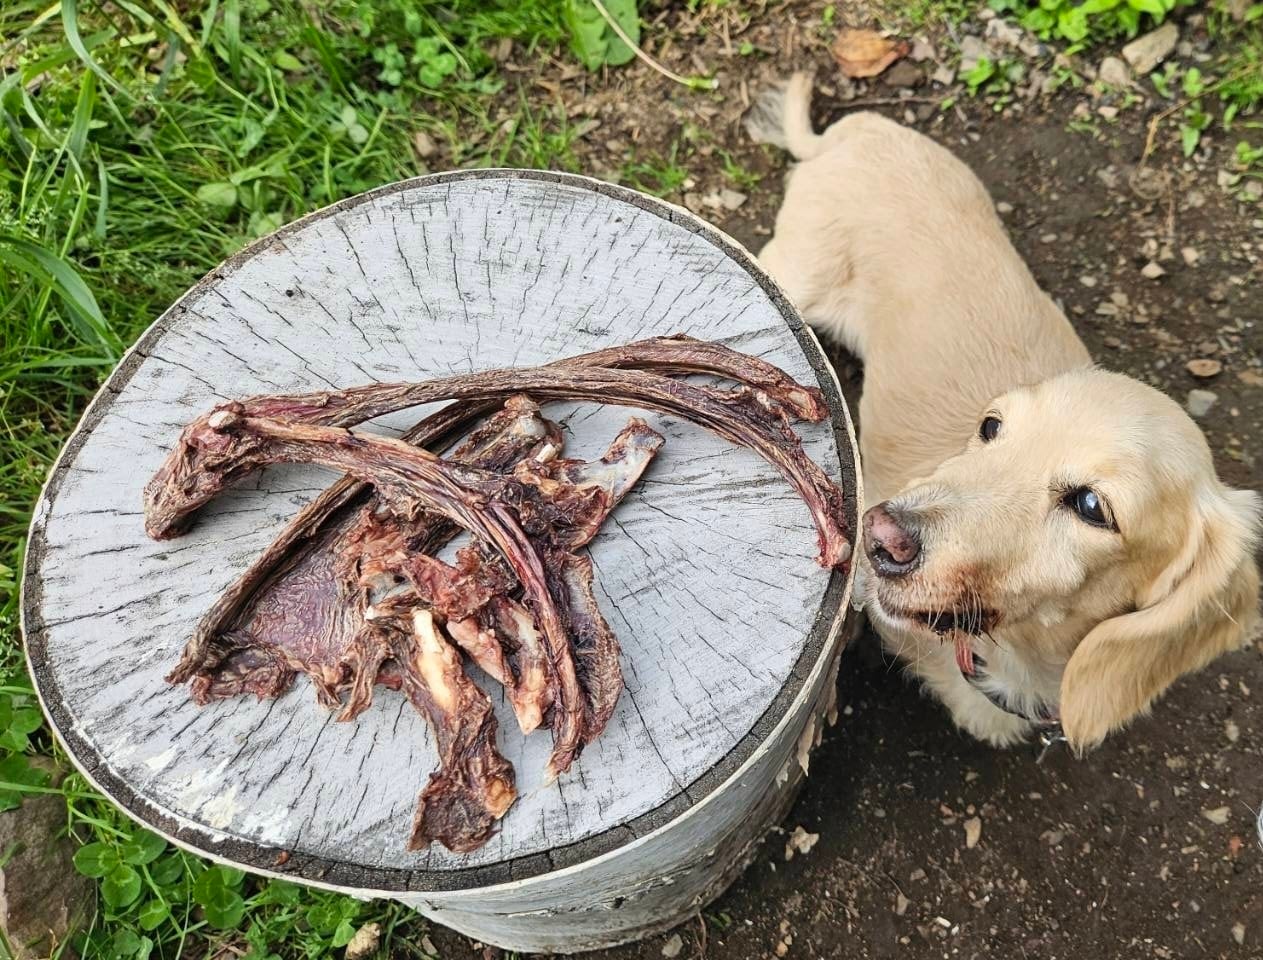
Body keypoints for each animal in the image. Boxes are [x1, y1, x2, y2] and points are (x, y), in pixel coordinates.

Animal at [749, 73, 1261, 752]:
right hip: (796, 273)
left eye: (1092, 506)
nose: (879, 535)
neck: (1008, 662)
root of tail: (852, 132)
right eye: (992, 428)